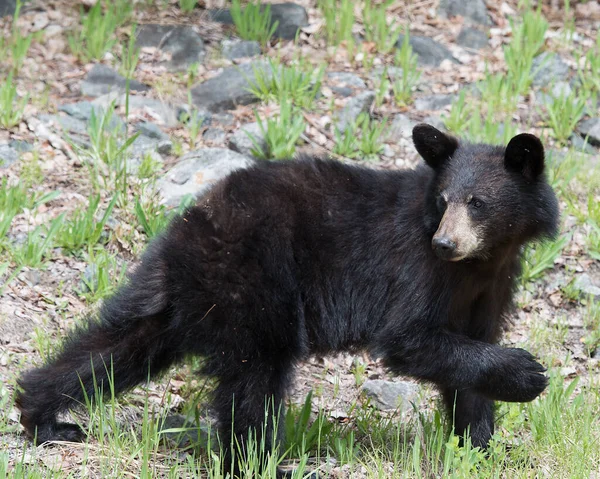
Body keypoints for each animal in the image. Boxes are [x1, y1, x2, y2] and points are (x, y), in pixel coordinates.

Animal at [15, 124, 556, 476]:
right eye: (444, 201)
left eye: (478, 203)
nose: (445, 242)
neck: (483, 259)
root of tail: (189, 226)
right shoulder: (417, 269)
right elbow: (409, 337)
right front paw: (527, 374)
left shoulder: (491, 284)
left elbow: (468, 359)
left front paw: (482, 448)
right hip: (257, 285)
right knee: (254, 385)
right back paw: (261, 464)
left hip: (183, 296)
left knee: (117, 347)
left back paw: (42, 416)